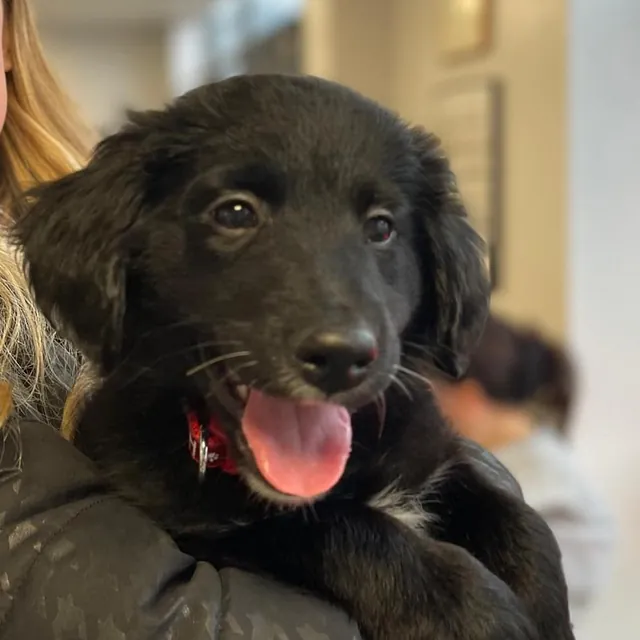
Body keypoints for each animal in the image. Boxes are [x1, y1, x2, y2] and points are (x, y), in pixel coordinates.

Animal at [15, 76, 576, 640]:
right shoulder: (203, 530)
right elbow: (336, 526)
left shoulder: (434, 451)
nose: (342, 356)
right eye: (235, 213)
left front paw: (545, 606)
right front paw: (470, 609)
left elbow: (521, 522)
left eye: (381, 227)